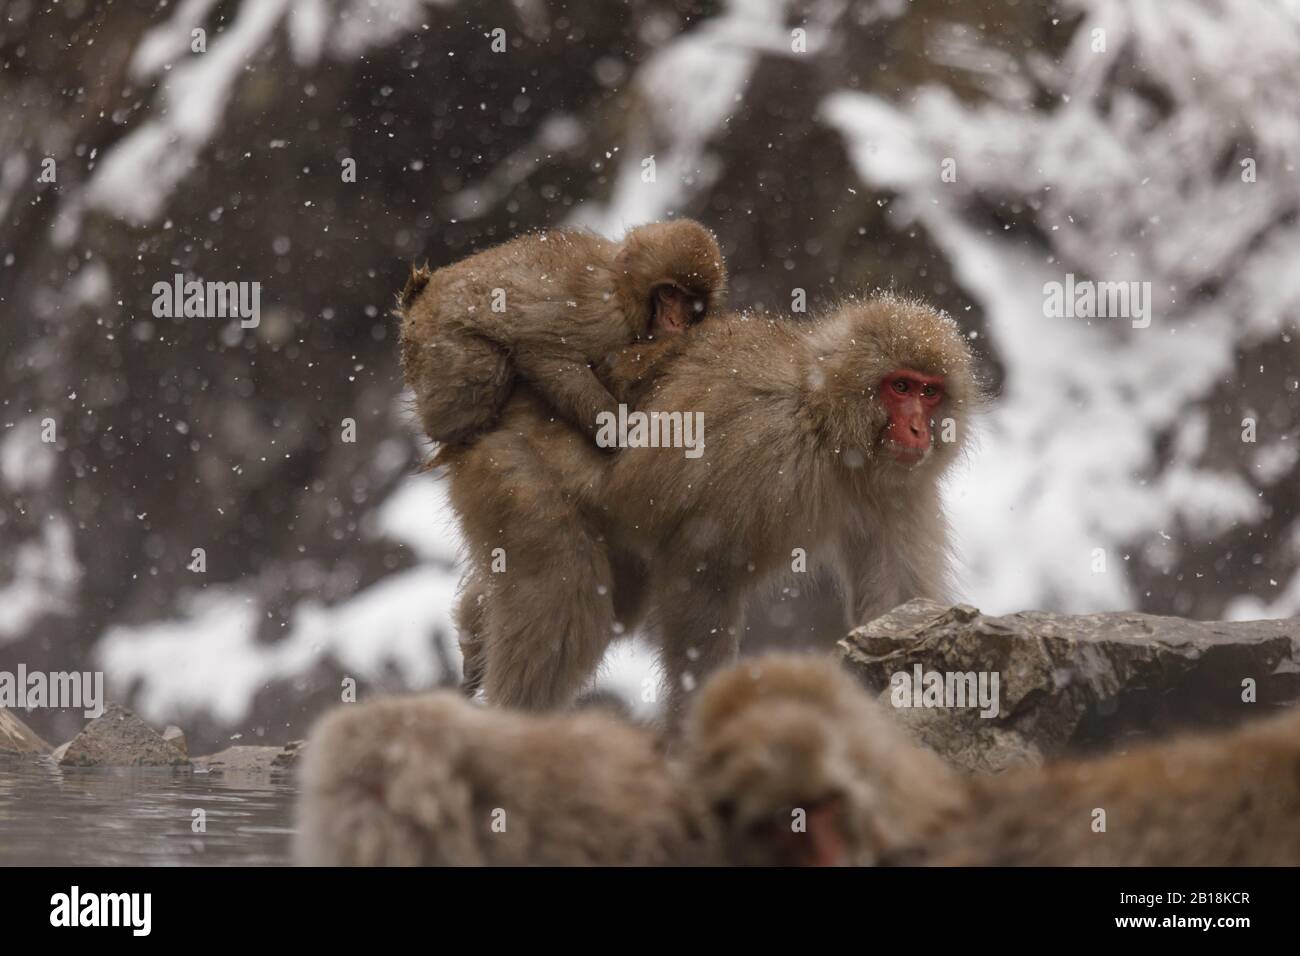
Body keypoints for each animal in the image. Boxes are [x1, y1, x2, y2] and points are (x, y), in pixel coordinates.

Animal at [395, 221, 728, 447]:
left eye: (692, 304)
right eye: (669, 293)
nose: (675, 321)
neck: (621, 285)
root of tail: (417, 301)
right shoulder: (604, 318)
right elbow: (547, 356)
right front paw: (617, 429)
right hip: (437, 341)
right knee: (484, 369)